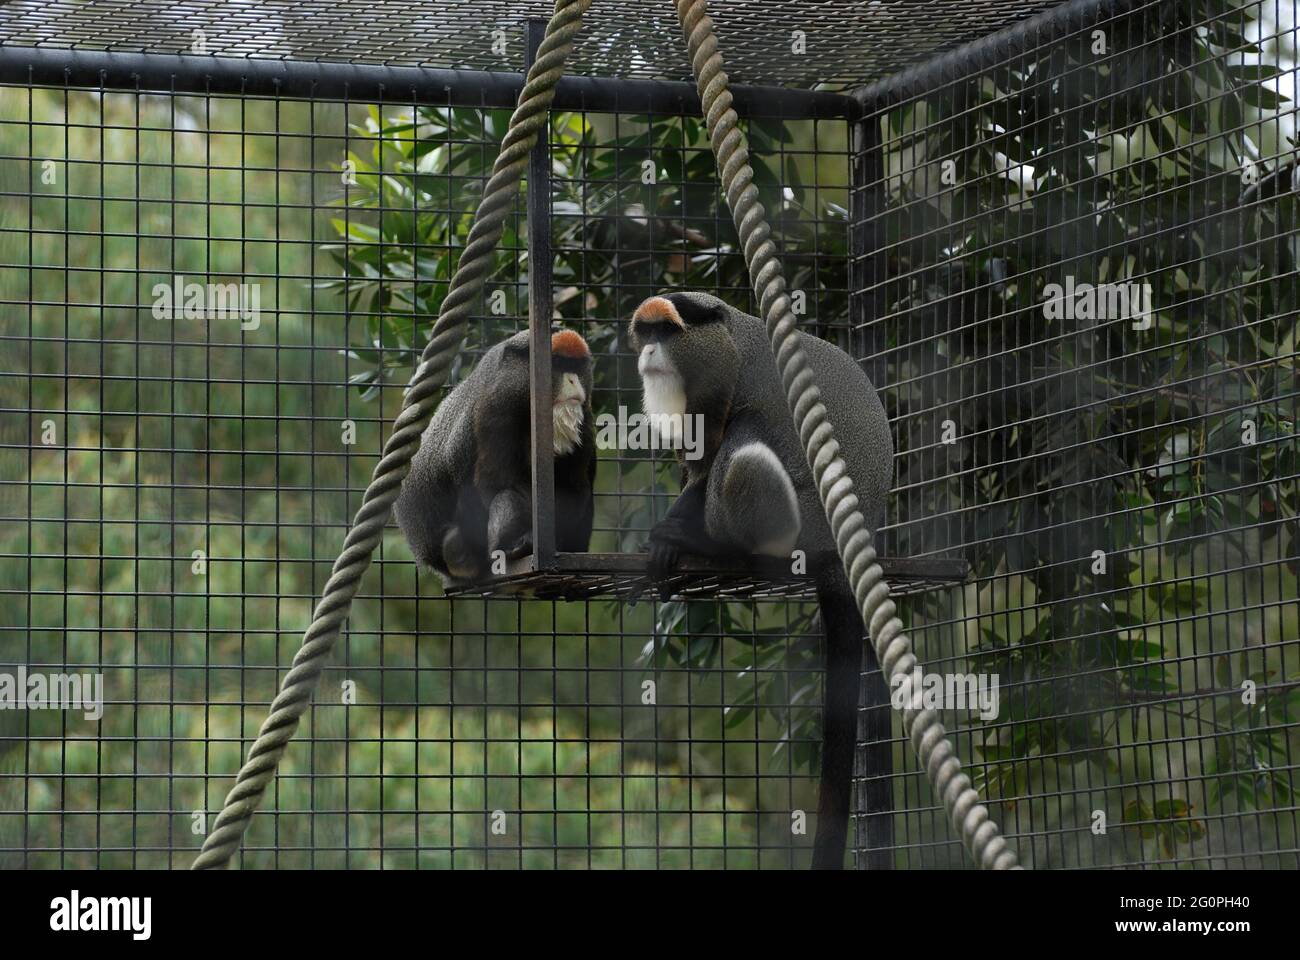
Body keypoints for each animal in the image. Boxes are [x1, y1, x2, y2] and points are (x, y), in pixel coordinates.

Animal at [395, 329, 598, 582]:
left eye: (576, 367)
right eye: (558, 364)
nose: (573, 381)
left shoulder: (585, 420)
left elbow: (576, 490)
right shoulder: (497, 406)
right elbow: (493, 482)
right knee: (505, 497)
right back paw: (512, 547)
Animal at [629, 291, 894, 868]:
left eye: (668, 330)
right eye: (645, 332)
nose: (647, 353)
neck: (735, 337)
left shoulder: (726, 384)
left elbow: (717, 457)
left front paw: (676, 534)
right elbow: (698, 466)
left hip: (804, 523)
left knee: (748, 440)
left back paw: (714, 543)